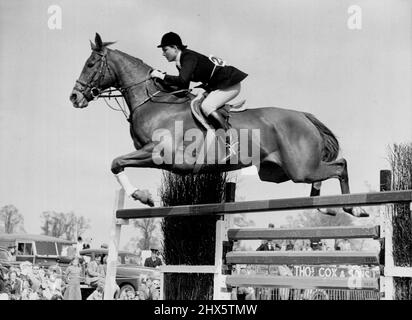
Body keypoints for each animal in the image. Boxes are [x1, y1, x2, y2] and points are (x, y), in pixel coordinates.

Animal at [70, 33, 366, 218]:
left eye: (91, 64)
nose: (74, 97)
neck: (154, 102)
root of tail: (303, 116)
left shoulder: (160, 152)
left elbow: (116, 162)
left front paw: (143, 197)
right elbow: (117, 163)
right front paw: (143, 196)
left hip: (300, 168)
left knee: (340, 166)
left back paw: (353, 208)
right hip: (277, 172)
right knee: (322, 174)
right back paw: (325, 207)